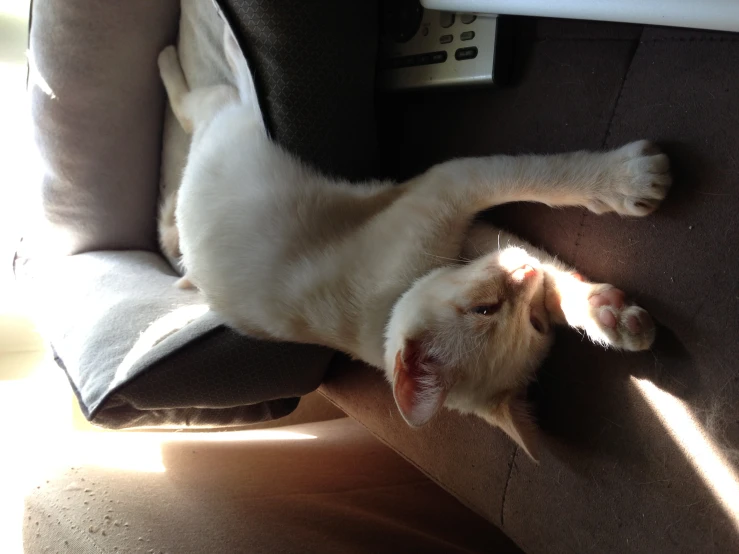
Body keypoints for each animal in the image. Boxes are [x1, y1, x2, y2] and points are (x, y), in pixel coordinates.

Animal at [159, 25, 672, 458]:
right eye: (485, 309)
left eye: (535, 323)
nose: (520, 273)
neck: (387, 309)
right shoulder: (450, 188)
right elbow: (540, 180)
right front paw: (629, 180)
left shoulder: (478, 235)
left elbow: (553, 271)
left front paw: (610, 317)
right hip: (221, 117)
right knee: (196, 96)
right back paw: (186, 48)